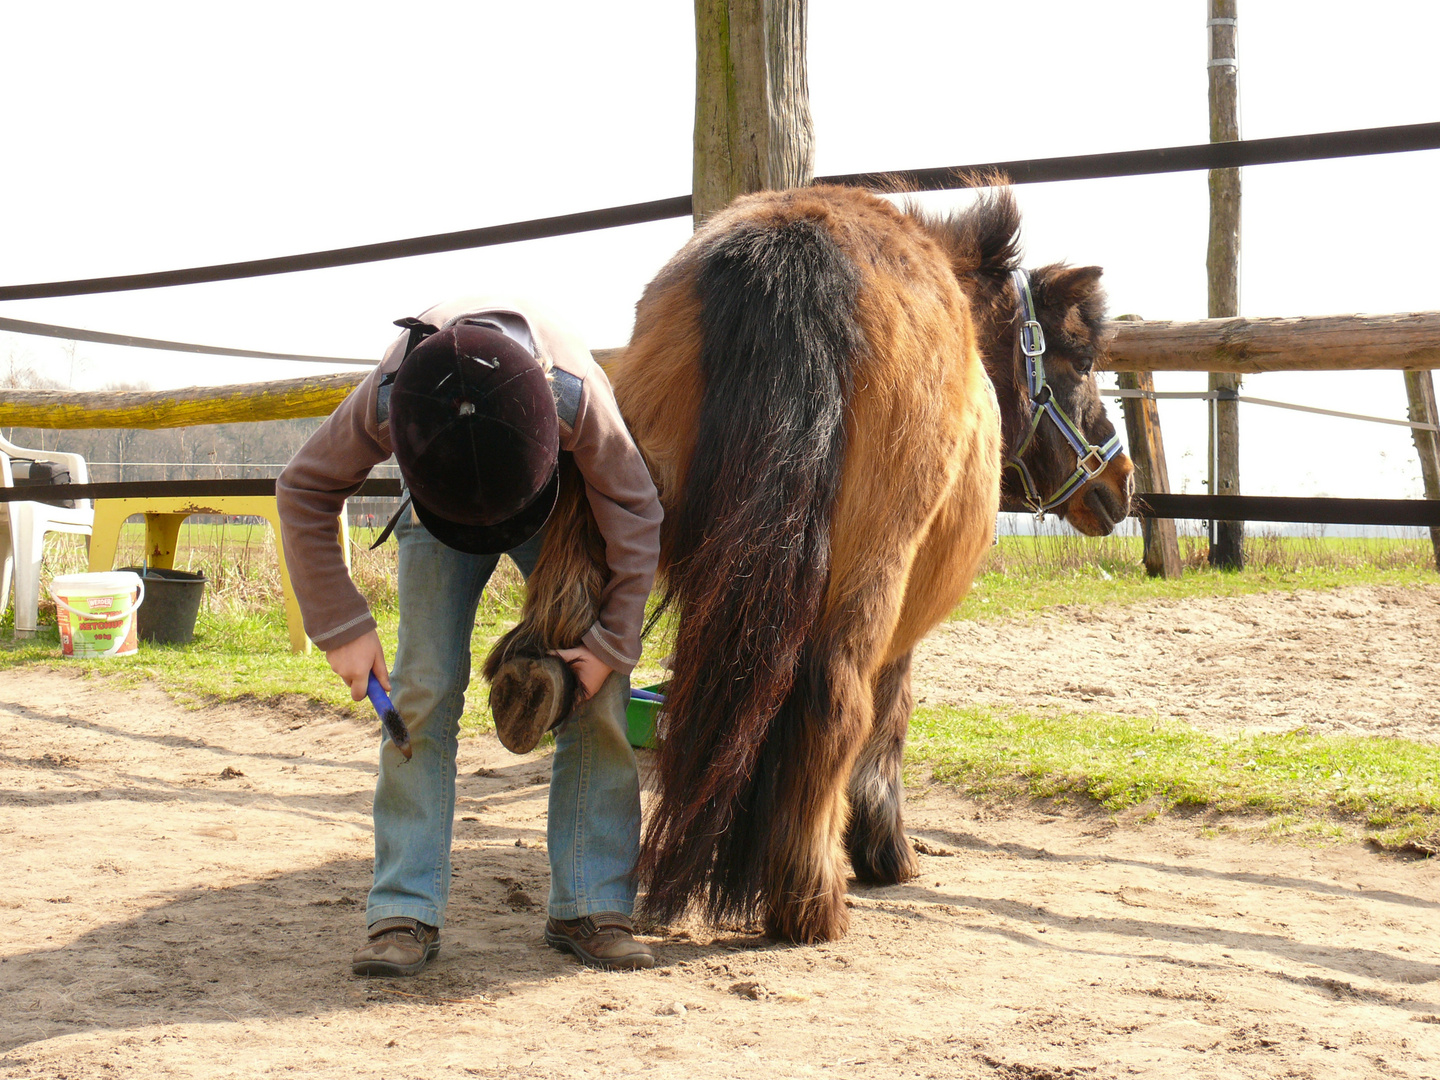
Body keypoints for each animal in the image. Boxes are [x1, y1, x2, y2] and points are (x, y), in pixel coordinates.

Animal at [489, 182, 1128, 944]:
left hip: (625, 475)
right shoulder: (901, 619)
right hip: (869, 571)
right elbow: (890, 718)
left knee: (578, 612)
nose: (1120, 482)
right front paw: (883, 847)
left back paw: (531, 684)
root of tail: (793, 250)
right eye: (1080, 361)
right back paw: (809, 897)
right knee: (834, 700)